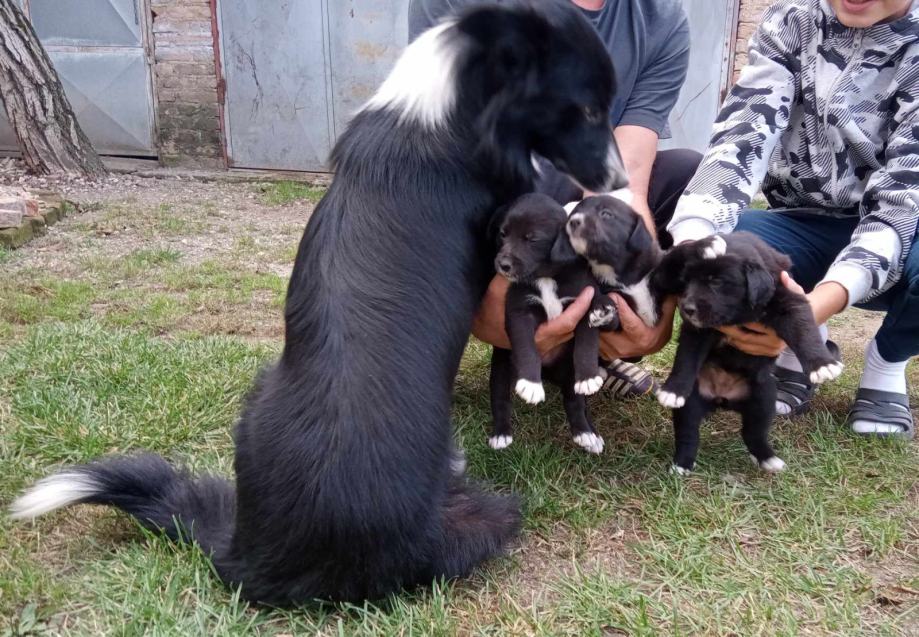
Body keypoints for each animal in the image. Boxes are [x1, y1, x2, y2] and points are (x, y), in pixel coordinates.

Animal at [488, 193, 620, 452]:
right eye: (502, 234)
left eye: (532, 239)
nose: (502, 265)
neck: (546, 276)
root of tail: (549, 373)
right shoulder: (520, 311)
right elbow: (526, 347)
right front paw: (531, 384)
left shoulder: (583, 303)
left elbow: (586, 344)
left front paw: (588, 377)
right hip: (501, 367)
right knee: (500, 399)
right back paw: (501, 433)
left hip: (568, 372)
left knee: (575, 402)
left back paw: (587, 433)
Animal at [656, 232, 844, 472]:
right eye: (685, 281)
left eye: (716, 281)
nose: (687, 309)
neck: (739, 315)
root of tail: (723, 398)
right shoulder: (696, 329)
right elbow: (686, 358)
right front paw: (673, 390)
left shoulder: (788, 301)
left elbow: (803, 330)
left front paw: (822, 365)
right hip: (692, 402)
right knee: (688, 433)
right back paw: (682, 464)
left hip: (764, 399)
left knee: (754, 433)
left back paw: (768, 459)